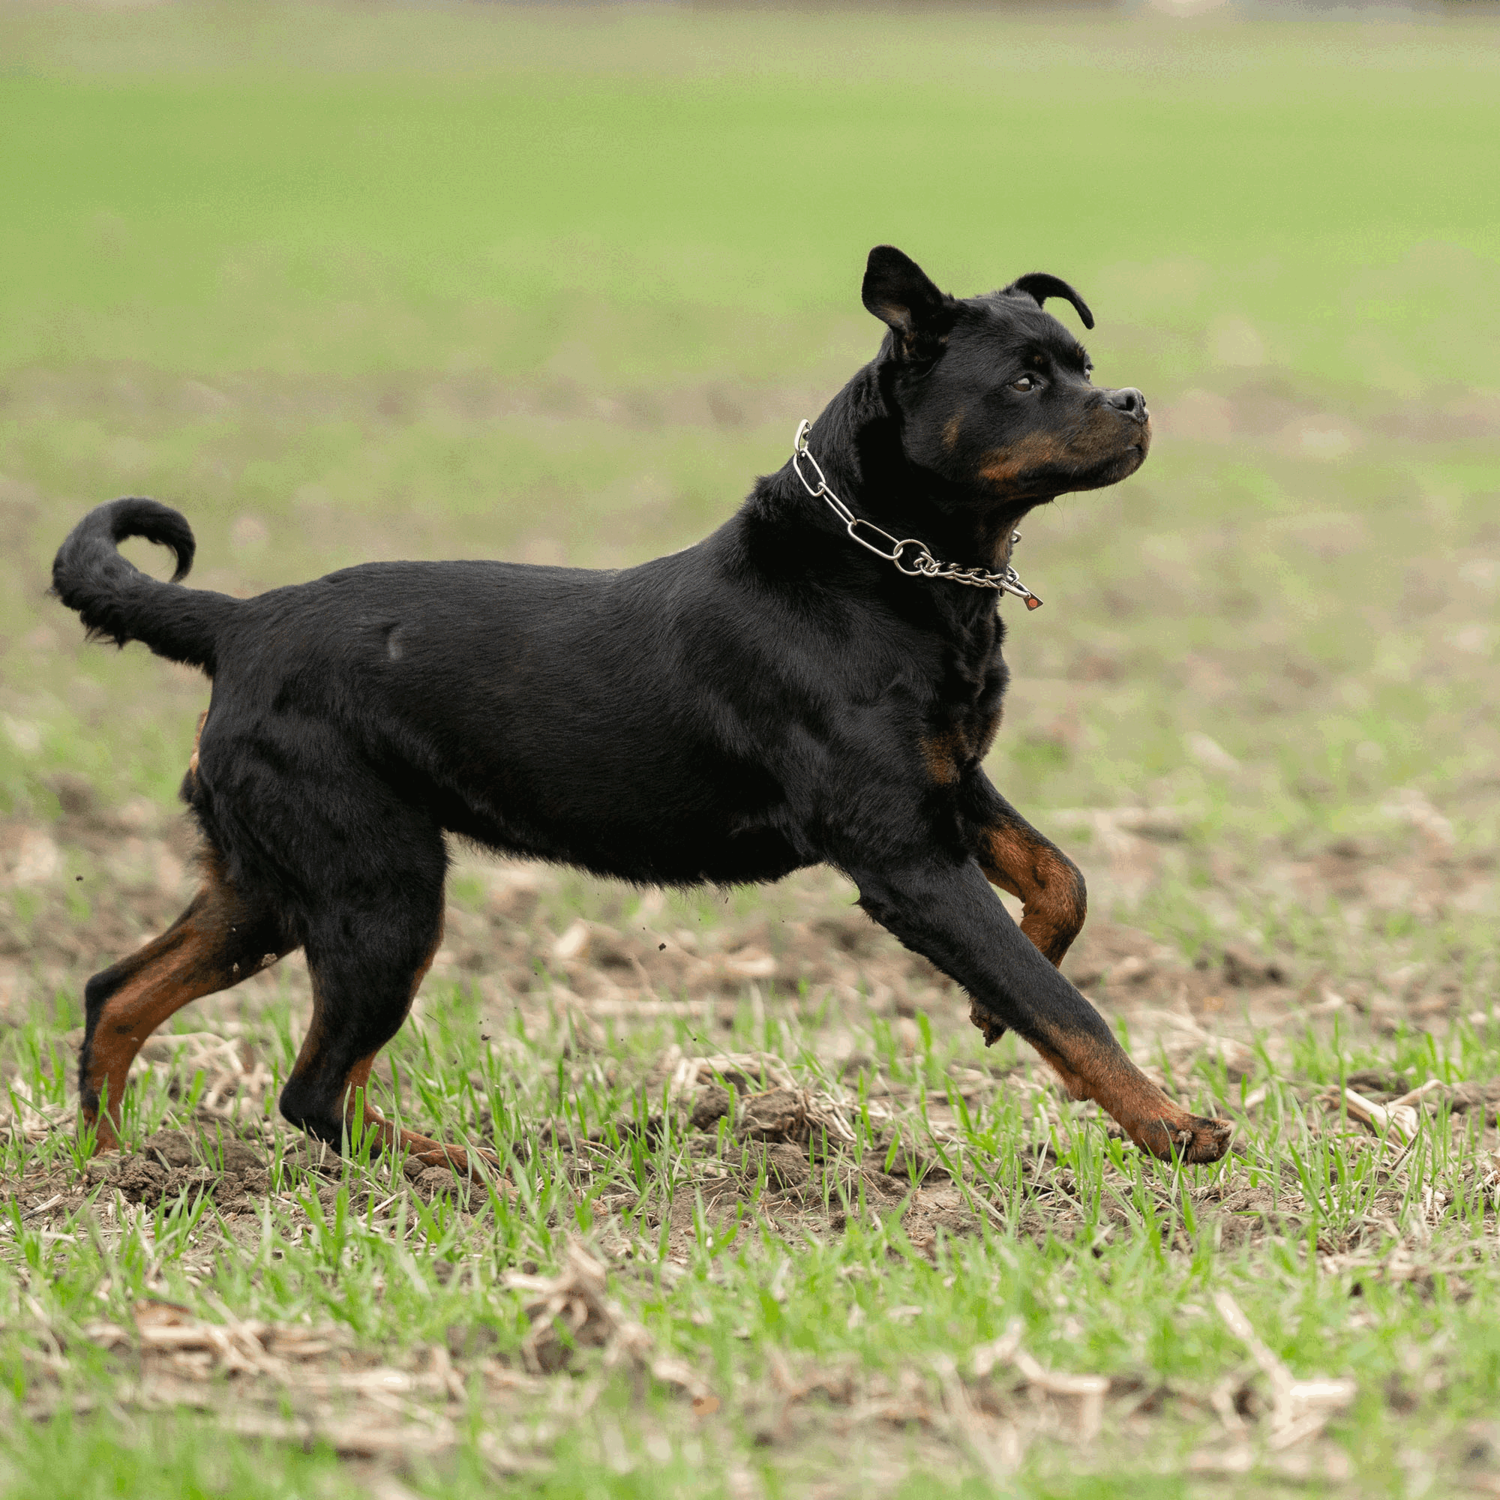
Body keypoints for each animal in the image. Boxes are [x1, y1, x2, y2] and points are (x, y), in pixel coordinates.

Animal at [55, 246, 1230, 1170]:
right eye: (1028, 377)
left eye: (1083, 366)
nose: (1133, 404)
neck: (894, 570)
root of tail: (239, 622)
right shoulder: (904, 853)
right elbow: (1062, 1004)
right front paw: (1172, 1126)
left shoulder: (949, 784)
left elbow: (1062, 882)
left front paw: (994, 1007)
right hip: (379, 889)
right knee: (309, 1087)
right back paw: (446, 1168)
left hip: (269, 883)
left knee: (119, 992)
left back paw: (112, 1169)